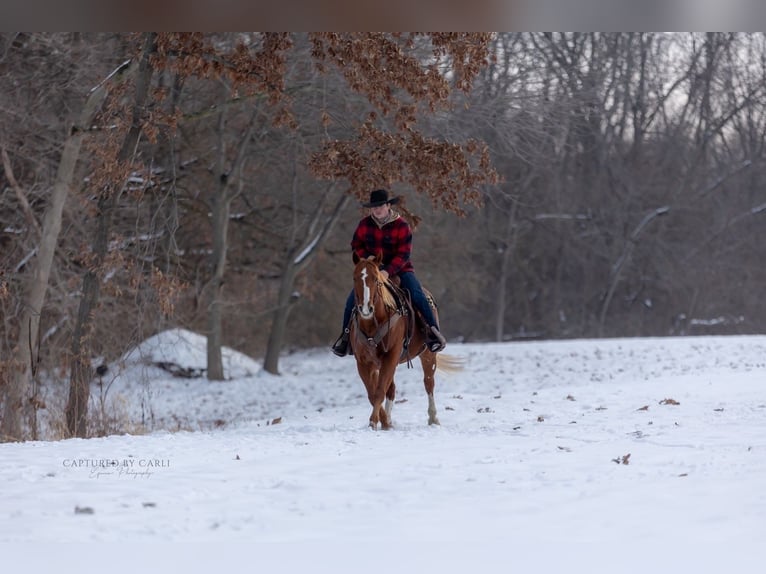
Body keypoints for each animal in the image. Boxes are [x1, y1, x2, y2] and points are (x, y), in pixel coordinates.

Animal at [349, 254, 461, 430]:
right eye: (355, 278)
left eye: (376, 279)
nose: (366, 309)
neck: (373, 324)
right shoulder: (364, 363)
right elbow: (373, 393)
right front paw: (384, 422)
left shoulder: (390, 357)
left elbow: (379, 391)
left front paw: (374, 422)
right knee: (391, 389)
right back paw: (388, 419)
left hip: (428, 355)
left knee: (428, 383)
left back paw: (433, 418)